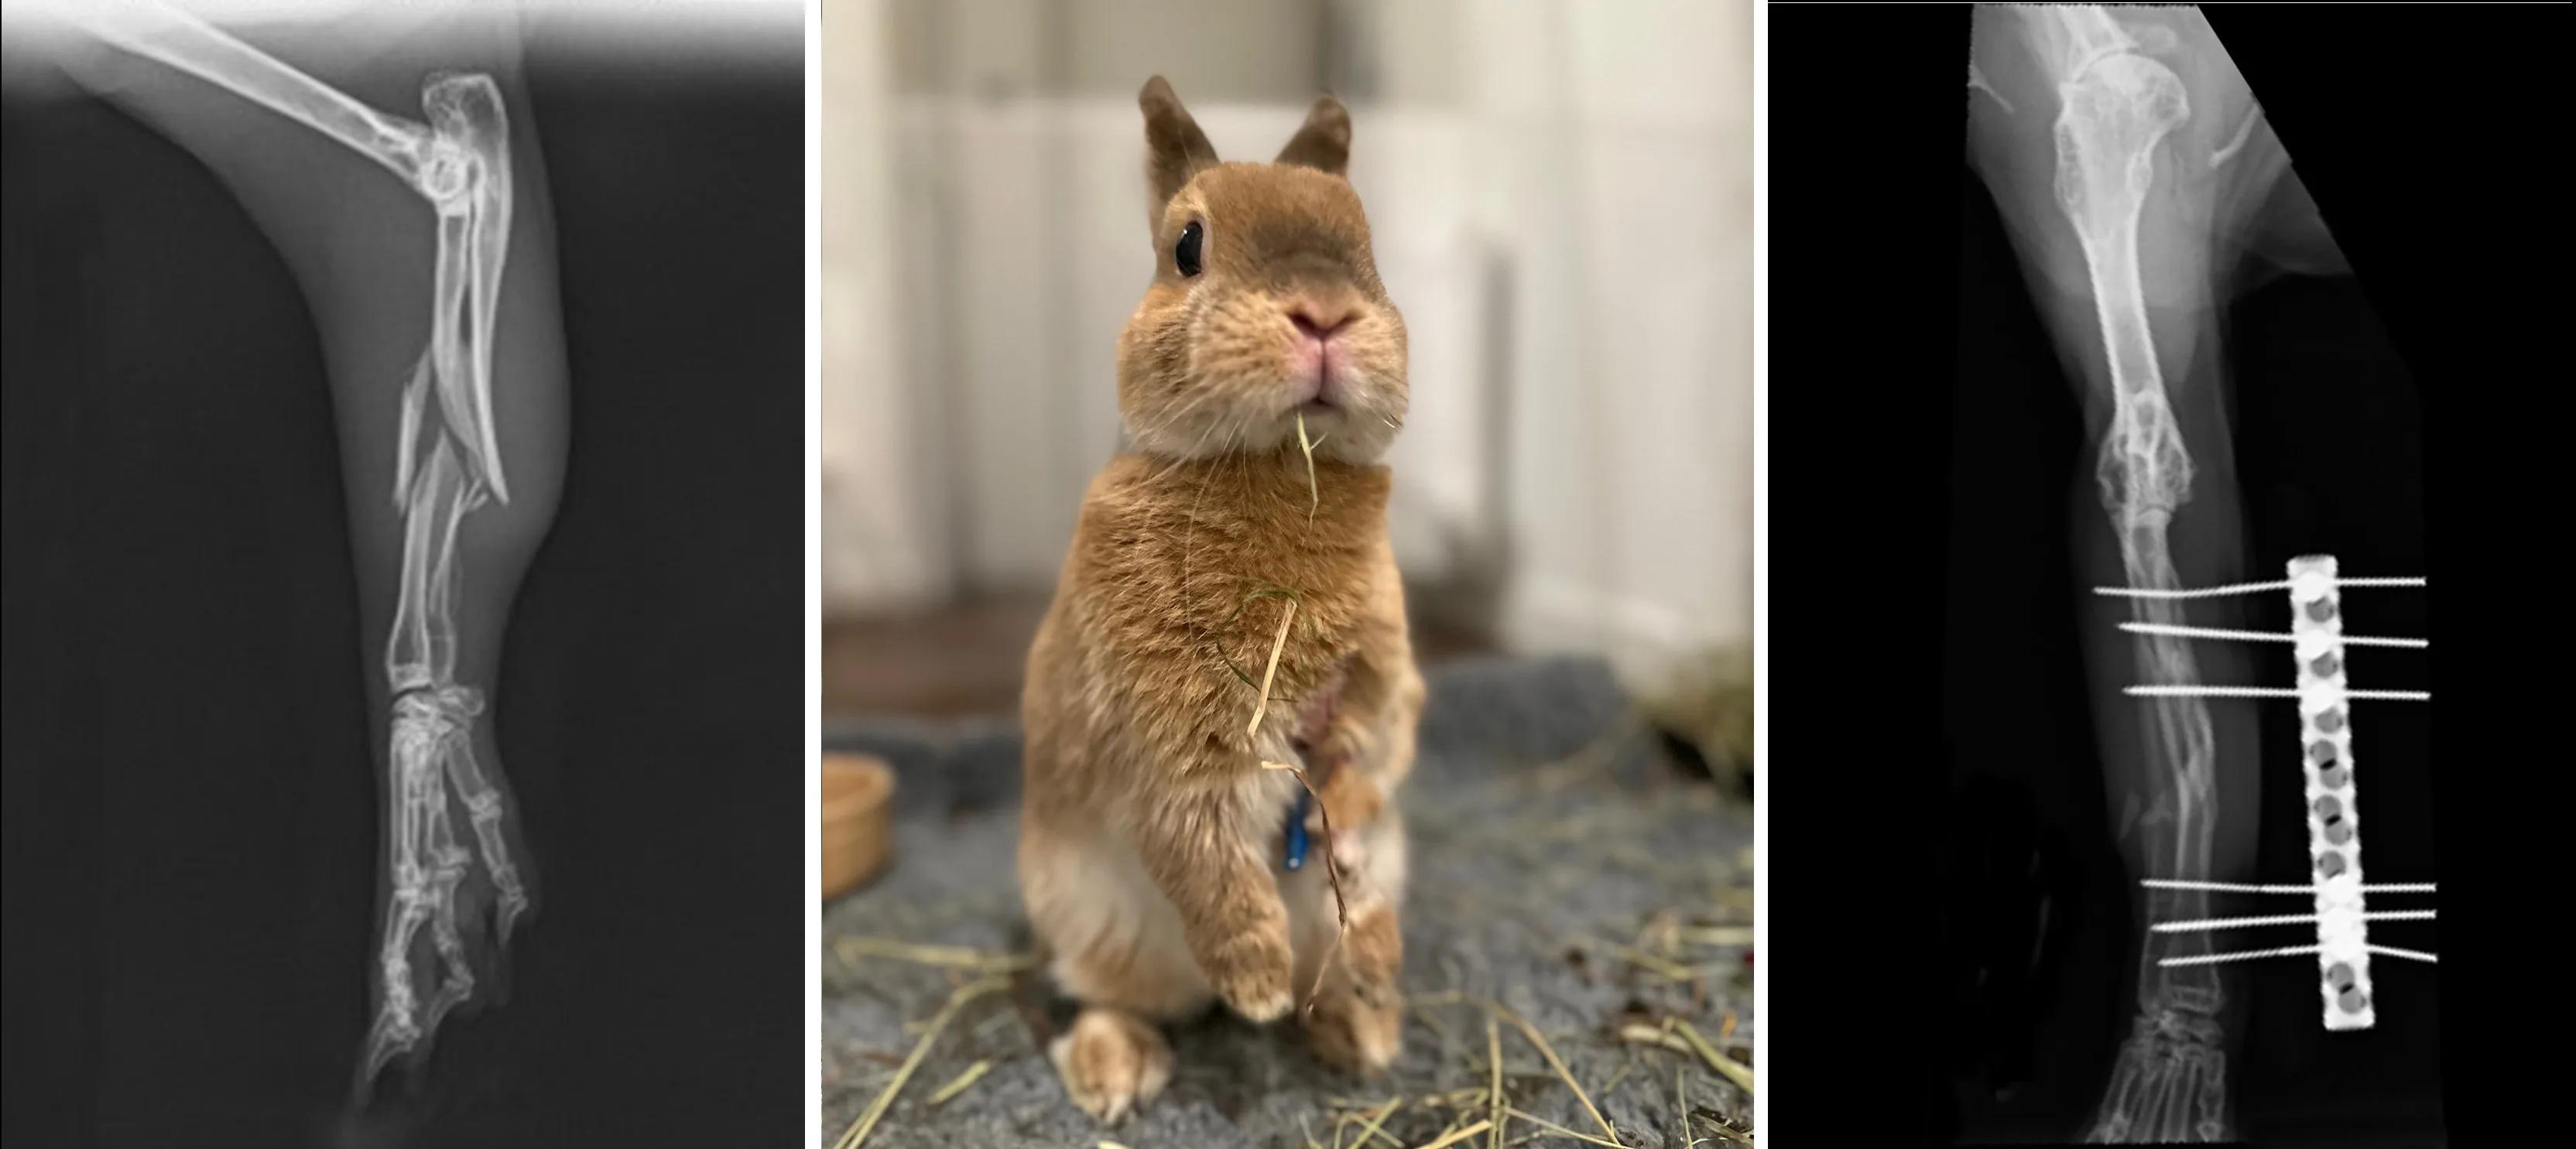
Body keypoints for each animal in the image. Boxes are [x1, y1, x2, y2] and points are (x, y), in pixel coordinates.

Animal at [1016, 75, 1427, 1125]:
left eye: (1368, 246)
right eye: (1187, 247)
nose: (1323, 316)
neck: (1280, 465)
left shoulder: (1381, 685)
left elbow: (1373, 761)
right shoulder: (1170, 747)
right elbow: (1202, 853)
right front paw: (1256, 983)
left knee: (1353, 925)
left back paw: (1361, 1019)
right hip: (1094, 922)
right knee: (1117, 995)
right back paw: (1122, 1066)